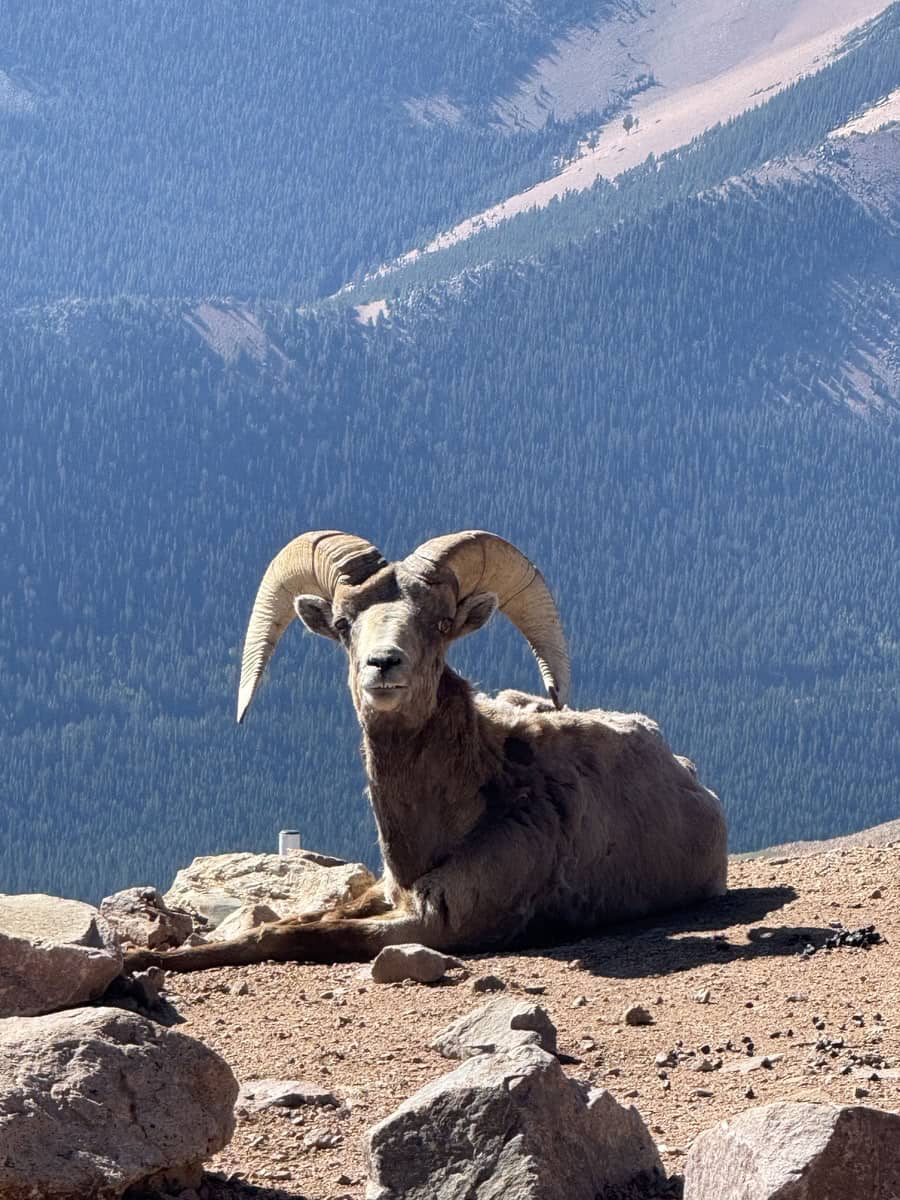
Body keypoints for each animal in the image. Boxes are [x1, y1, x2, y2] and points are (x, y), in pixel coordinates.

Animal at [126, 529, 727, 972]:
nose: (384, 665)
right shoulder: (390, 893)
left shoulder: (434, 922)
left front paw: (142, 961)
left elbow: (299, 936)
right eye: (343, 625)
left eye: (439, 624)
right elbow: (296, 920)